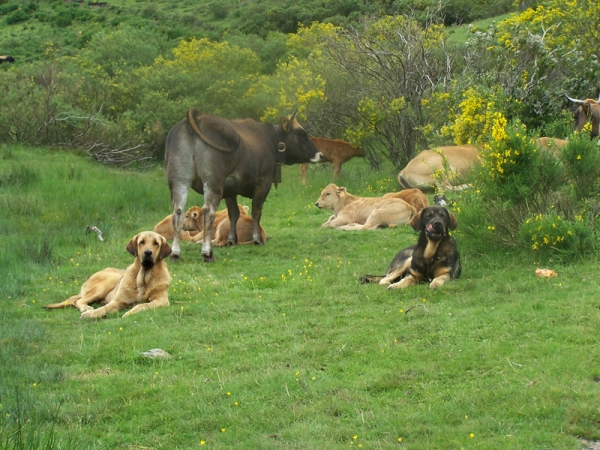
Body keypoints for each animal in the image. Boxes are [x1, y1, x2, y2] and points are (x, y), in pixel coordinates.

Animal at [164, 108, 324, 262]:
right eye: (302, 133)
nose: (320, 154)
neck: (269, 139)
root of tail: (197, 116)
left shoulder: (230, 189)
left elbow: (233, 213)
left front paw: (232, 239)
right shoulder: (263, 183)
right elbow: (256, 212)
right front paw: (257, 239)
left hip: (179, 180)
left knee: (177, 212)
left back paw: (175, 254)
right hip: (213, 181)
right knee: (208, 212)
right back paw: (207, 253)